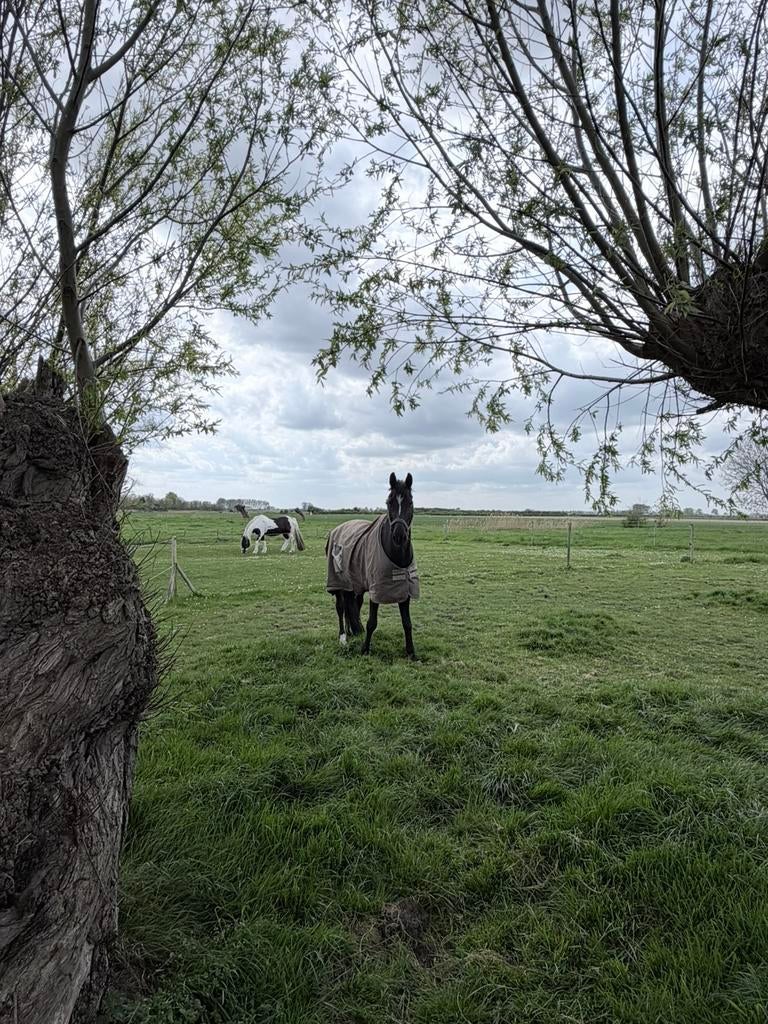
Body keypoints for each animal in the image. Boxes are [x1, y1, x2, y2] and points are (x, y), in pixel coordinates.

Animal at [326, 472, 419, 659]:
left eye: (410, 502)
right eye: (389, 502)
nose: (399, 536)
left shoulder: (405, 590)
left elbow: (407, 623)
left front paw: (411, 653)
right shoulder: (376, 590)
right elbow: (372, 622)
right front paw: (365, 649)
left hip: (354, 584)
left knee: (353, 605)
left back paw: (353, 631)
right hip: (338, 583)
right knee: (340, 608)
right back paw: (343, 637)